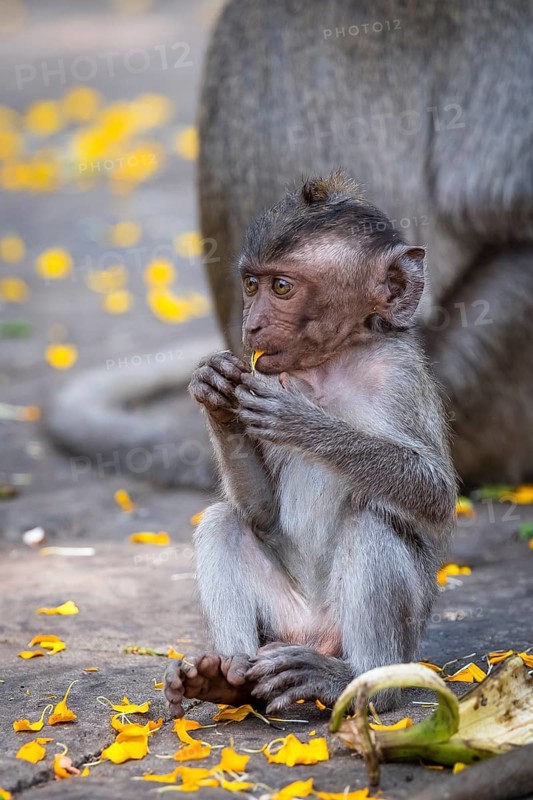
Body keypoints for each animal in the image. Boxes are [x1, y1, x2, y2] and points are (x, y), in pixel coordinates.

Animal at [164, 173, 457, 717]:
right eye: (250, 284)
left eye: (282, 287)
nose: (251, 325)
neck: (328, 365)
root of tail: (315, 633)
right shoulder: (267, 372)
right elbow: (261, 514)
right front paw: (216, 394)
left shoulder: (400, 378)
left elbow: (434, 495)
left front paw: (303, 422)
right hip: (283, 621)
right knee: (223, 520)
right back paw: (224, 679)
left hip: (390, 638)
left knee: (372, 521)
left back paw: (355, 679)